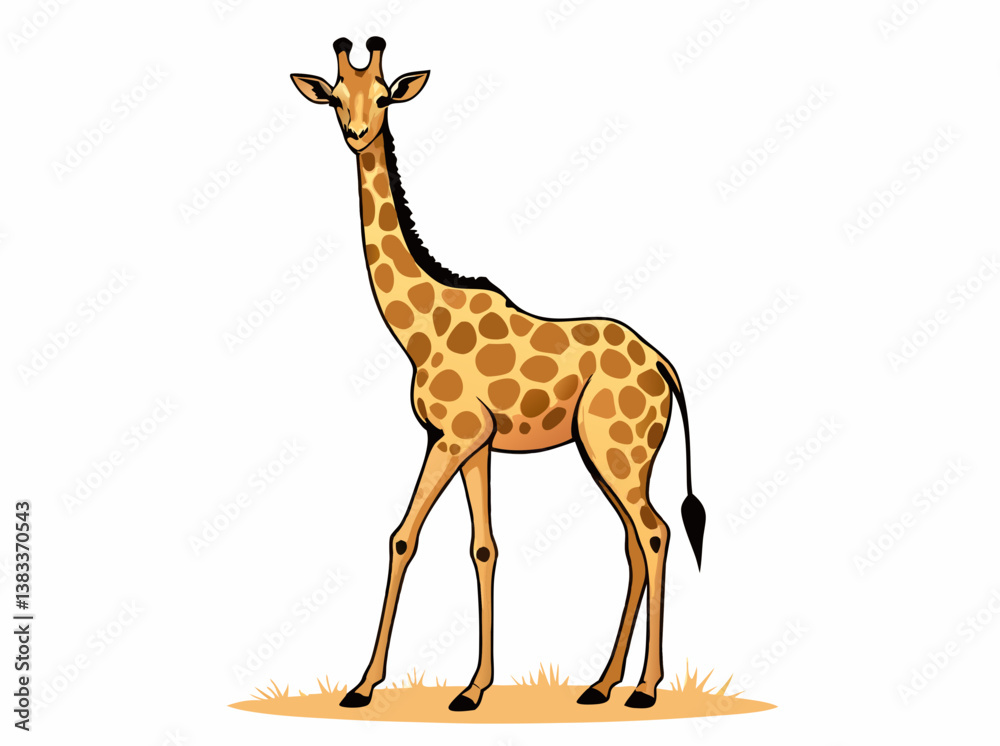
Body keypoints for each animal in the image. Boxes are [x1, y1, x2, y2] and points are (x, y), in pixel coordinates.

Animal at [290, 37, 706, 712]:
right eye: (333, 97)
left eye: (382, 97)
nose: (356, 133)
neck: (418, 328)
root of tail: (663, 365)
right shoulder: (472, 443)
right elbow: (482, 546)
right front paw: (473, 687)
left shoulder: (454, 435)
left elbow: (402, 536)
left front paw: (363, 685)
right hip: (607, 454)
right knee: (635, 541)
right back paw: (601, 684)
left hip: (617, 450)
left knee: (655, 533)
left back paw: (644, 688)